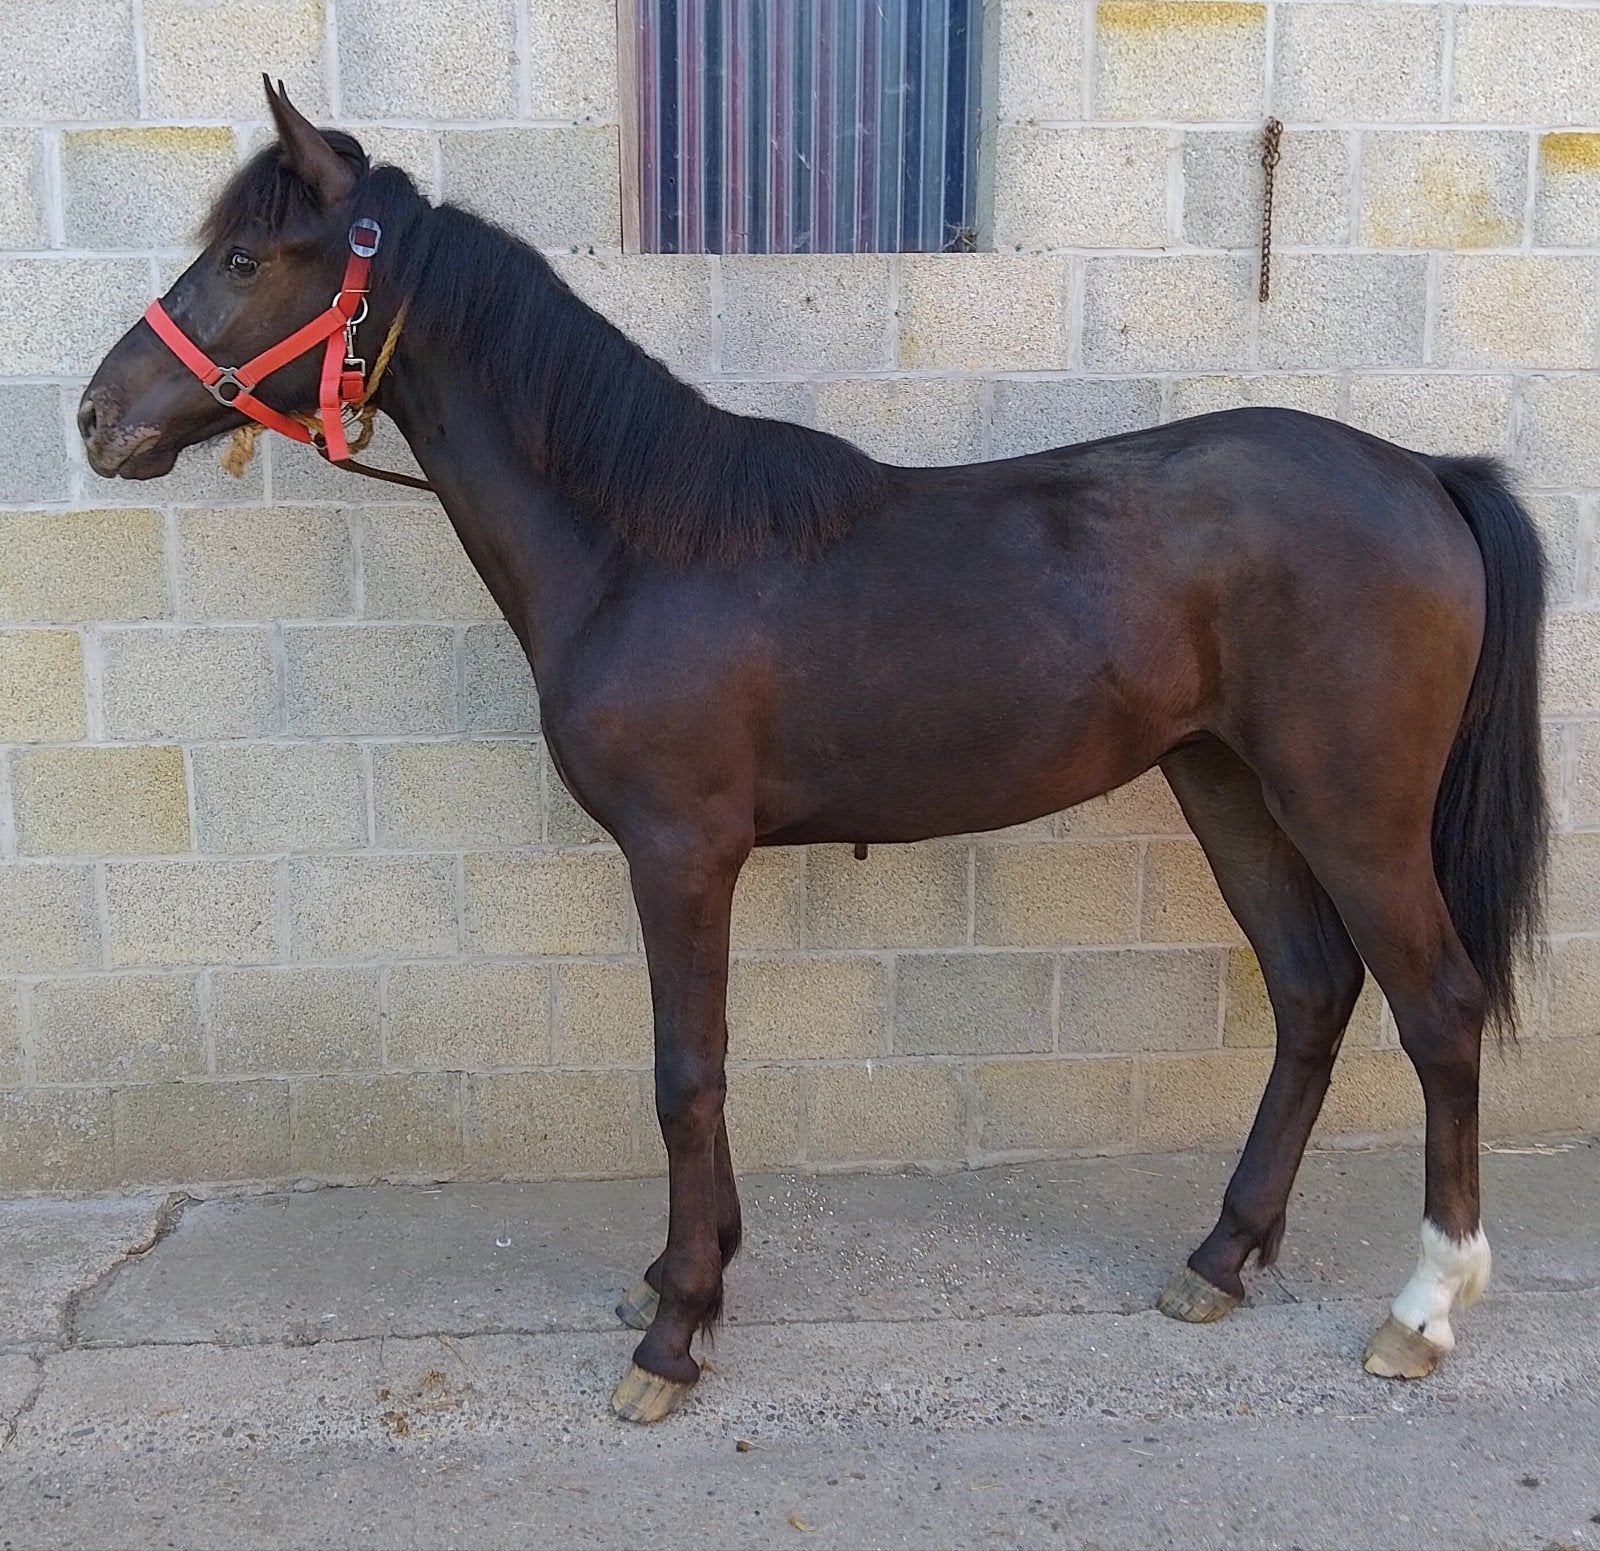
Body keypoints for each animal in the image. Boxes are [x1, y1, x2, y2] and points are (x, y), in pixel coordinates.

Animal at [79, 79, 1547, 1424]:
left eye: (245, 258)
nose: (99, 416)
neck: (642, 548)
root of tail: (1422, 473)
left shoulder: (680, 852)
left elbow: (686, 1077)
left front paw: (675, 1329)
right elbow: (705, 1069)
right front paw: (693, 1271)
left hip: (1351, 808)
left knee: (1437, 1009)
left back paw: (1423, 1307)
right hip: (1227, 784)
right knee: (1309, 991)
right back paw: (1221, 1256)